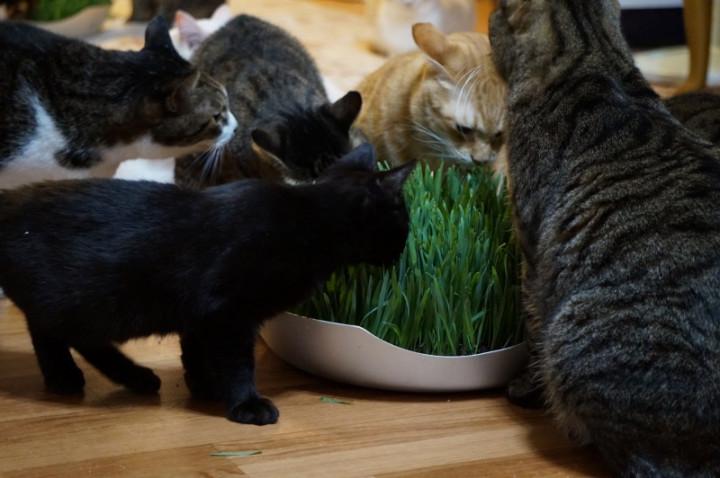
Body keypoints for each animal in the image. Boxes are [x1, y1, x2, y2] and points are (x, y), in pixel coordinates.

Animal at [0, 144, 415, 425]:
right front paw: (246, 405)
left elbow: (197, 352)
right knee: (59, 333)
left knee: (54, 332)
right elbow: (238, 363)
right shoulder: (227, 311)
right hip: (93, 300)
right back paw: (94, 376)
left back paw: (106, 377)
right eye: (403, 218)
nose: (406, 245)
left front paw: (205, 388)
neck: (308, 219)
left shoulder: (201, 317)